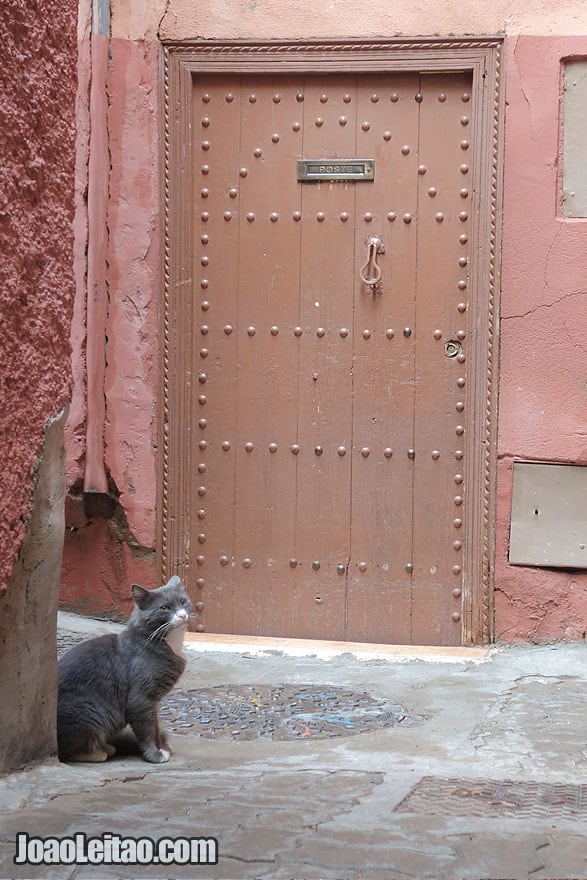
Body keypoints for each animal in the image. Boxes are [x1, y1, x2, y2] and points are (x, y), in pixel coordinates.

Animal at [57, 576, 192, 764]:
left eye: (183, 602)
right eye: (165, 607)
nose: (182, 614)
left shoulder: (154, 703)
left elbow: (155, 727)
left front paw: (163, 747)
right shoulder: (140, 700)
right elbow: (147, 731)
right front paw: (155, 755)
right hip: (90, 711)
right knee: (67, 752)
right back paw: (98, 752)